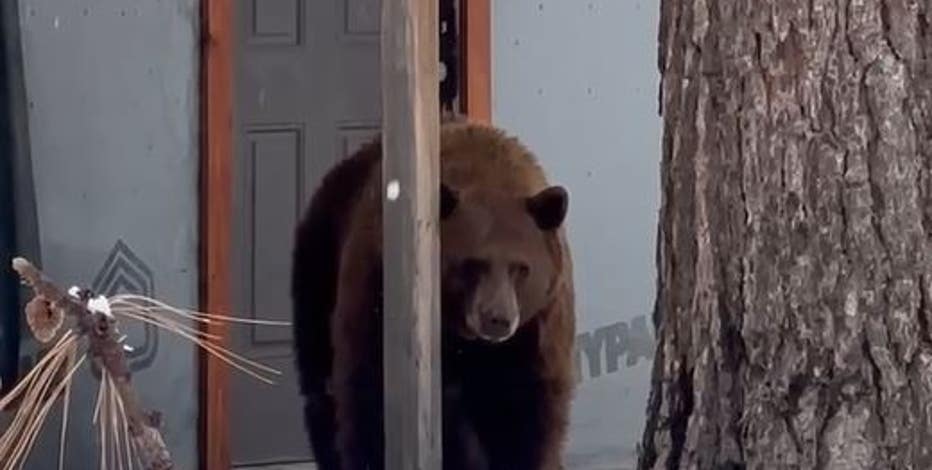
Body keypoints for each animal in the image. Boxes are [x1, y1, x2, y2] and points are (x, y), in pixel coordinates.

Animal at [291, 118, 576, 470]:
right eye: (472, 264)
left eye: (521, 268)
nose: (497, 319)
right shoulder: (377, 290)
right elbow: (369, 396)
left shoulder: (537, 328)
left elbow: (528, 413)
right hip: (319, 266)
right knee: (320, 386)